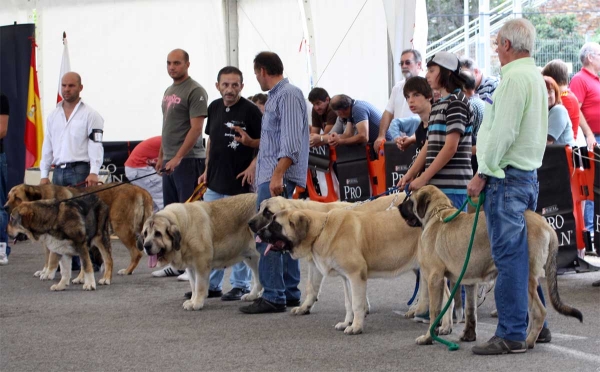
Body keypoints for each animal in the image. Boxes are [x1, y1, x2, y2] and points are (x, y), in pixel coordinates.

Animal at [398, 185, 580, 348]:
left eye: (410, 201)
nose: (399, 206)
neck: (438, 214)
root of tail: (546, 224)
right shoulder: (470, 281)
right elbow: (470, 311)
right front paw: (468, 335)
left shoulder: (434, 278)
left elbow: (435, 311)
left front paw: (428, 337)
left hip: (524, 277)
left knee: (539, 312)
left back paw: (527, 342)